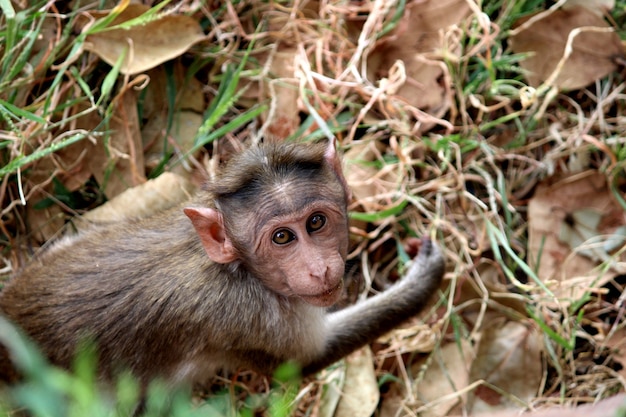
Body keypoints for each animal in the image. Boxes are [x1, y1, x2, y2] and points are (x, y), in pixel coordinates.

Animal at [0, 138, 444, 388]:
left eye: (316, 222)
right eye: (282, 237)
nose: (319, 269)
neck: (235, 267)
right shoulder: (251, 317)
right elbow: (302, 363)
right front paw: (422, 282)